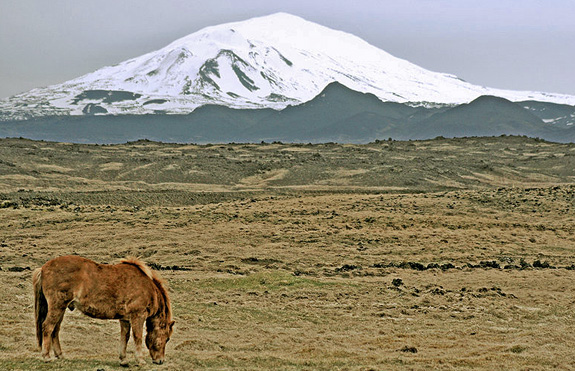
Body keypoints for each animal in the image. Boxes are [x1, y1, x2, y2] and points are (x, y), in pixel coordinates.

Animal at [32, 256, 173, 366]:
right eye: (166, 339)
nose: (160, 361)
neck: (147, 288)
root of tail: (43, 268)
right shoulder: (137, 316)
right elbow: (137, 337)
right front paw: (140, 360)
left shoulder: (125, 319)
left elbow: (125, 337)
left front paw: (123, 360)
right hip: (57, 306)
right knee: (48, 327)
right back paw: (47, 357)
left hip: (61, 309)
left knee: (55, 330)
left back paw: (60, 355)